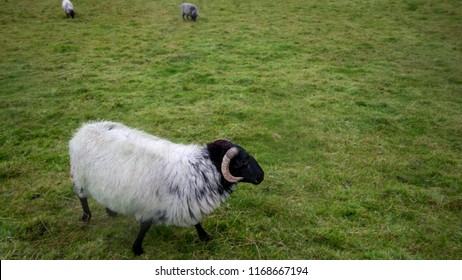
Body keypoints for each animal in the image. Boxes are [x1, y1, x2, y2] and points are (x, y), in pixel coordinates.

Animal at [68, 121, 264, 256]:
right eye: (243, 162)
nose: (261, 176)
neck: (201, 168)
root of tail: (84, 129)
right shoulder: (150, 204)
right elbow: (145, 226)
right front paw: (137, 249)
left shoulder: (188, 200)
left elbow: (196, 221)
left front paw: (204, 236)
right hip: (80, 176)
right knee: (82, 197)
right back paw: (86, 217)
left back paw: (111, 211)